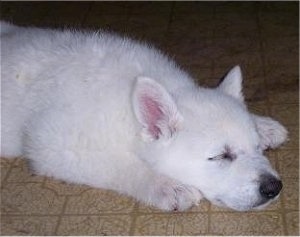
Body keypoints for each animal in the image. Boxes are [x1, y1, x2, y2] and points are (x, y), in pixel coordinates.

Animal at [0, 21, 288, 211]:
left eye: (257, 148)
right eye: (220, 156)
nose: (274, 188)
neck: (127, 110)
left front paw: (265, 126)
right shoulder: (52, 144)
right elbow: (122, 165)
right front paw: (166, 186)